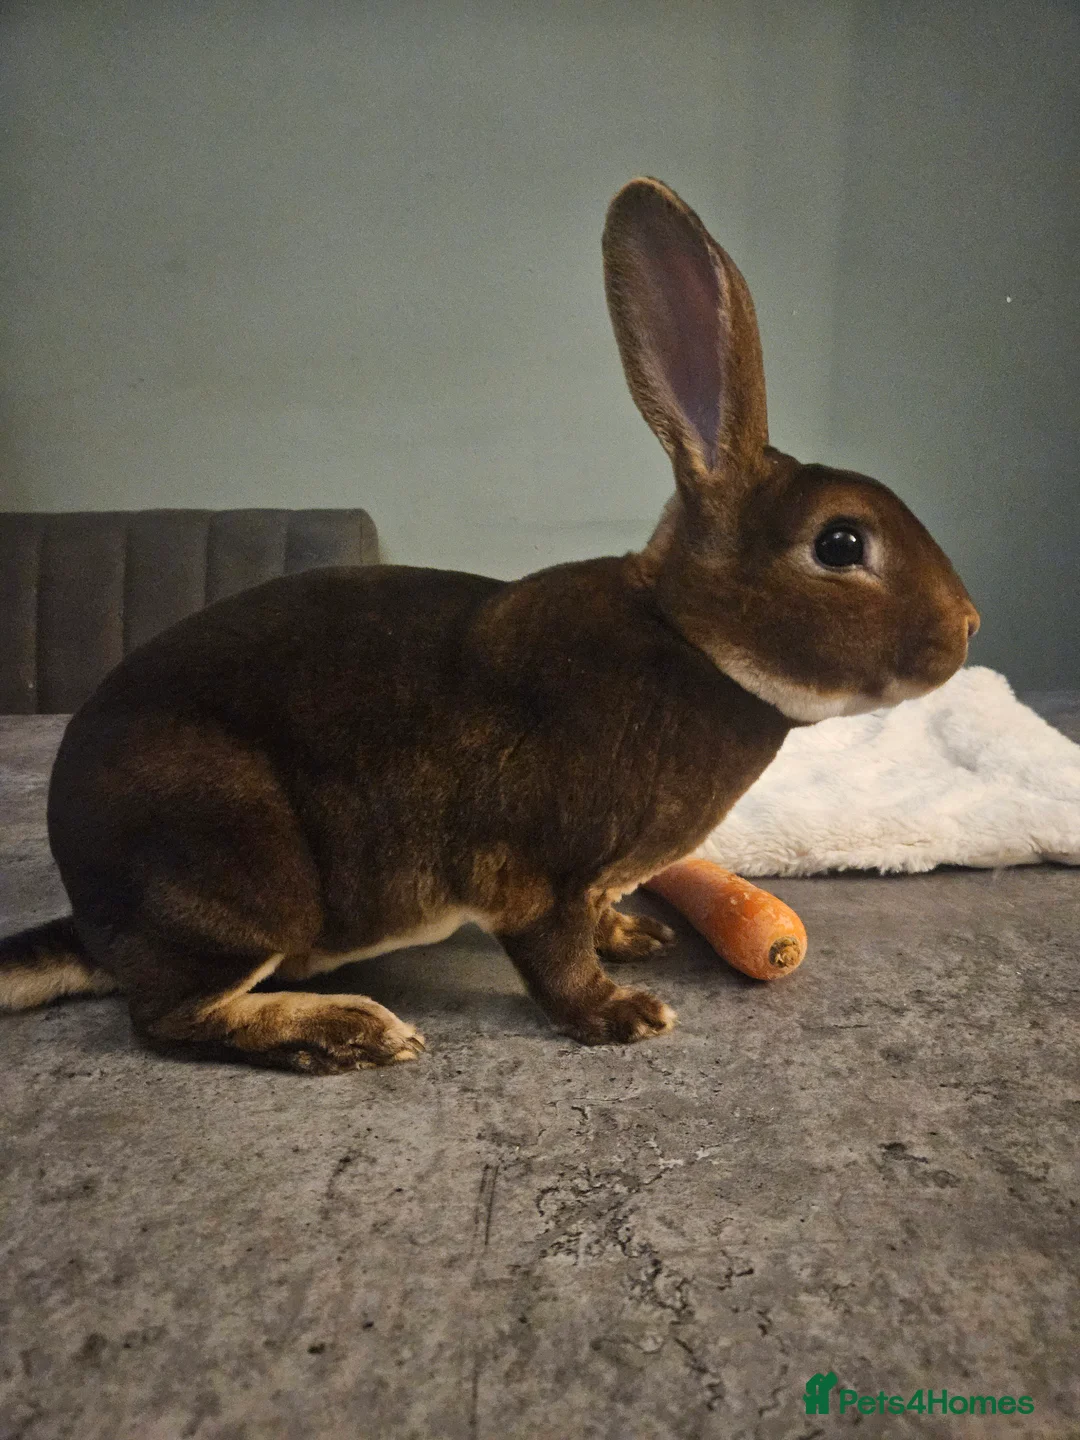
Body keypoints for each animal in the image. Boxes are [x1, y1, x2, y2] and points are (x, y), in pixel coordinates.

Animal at [0, 178, 979, 1072]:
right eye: (842, 542)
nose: (967, 626)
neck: (689, 641)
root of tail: (97, 919)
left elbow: (592, 921)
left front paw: (634, 938)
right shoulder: (539, 871)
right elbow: (553, 956)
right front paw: (623, 1014)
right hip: (237, 869)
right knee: (169, 1017)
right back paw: (348, 1032)